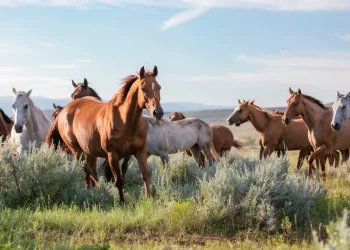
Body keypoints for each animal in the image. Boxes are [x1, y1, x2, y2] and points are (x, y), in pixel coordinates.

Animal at [45, 65, 164, 204]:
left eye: (159, 87)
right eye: (143, 88)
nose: (158, 112)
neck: (126, 121)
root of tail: (64, 111)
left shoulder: (139, 151)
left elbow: (144, 175)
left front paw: (149, 198)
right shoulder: (112, 156)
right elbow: (118, 180)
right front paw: (122, 203)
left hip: (89, 152)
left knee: (88, 171)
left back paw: (89, 191)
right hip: (76, 150)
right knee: (86, 168)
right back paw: (100, 189)